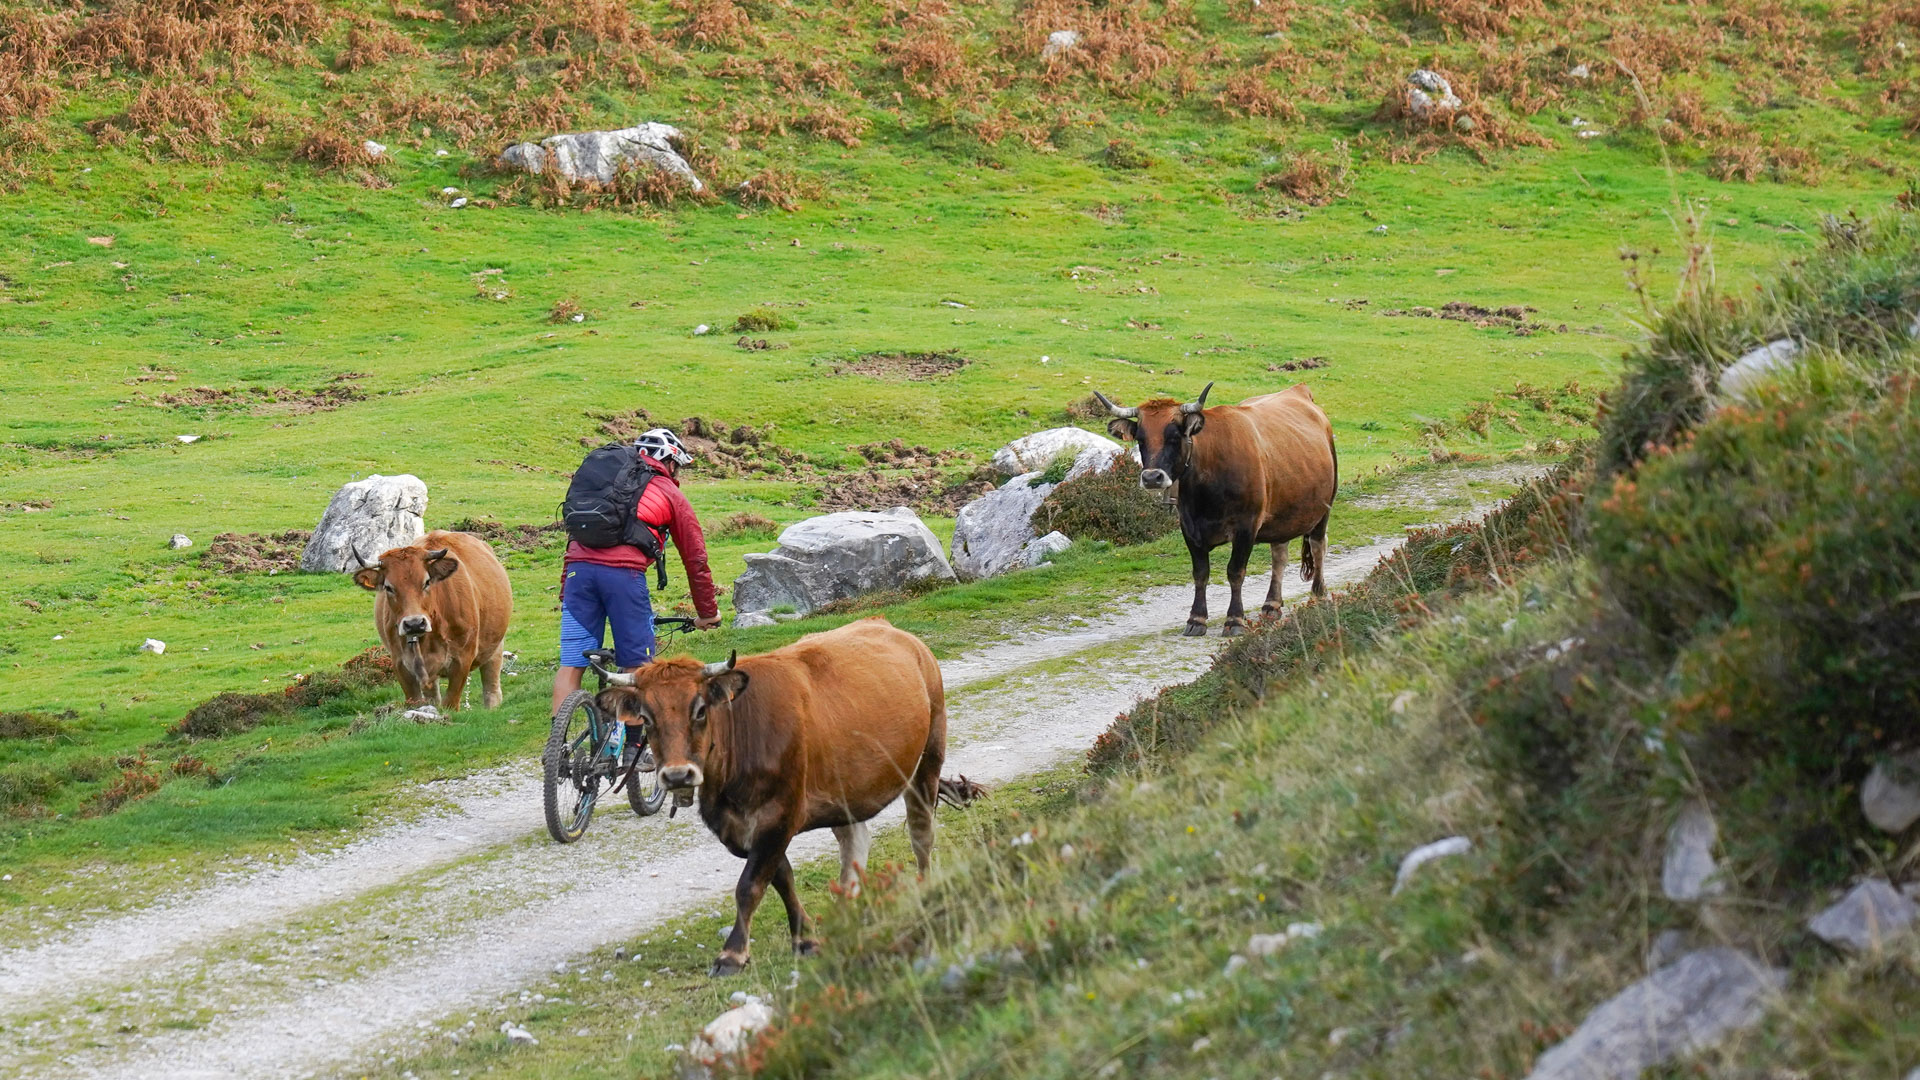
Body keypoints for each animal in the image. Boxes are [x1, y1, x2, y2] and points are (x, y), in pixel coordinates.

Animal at [355, 526, 514, 711]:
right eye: (388, 587)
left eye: (426, 581)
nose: (414, 624)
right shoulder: (400, 663)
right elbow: (415, 702)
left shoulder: (463, 659)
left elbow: (451, 703)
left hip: (495, 645)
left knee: (491, 685)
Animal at [602, 614, 948, 976]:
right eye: (646, 717)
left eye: (699, 710)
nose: (677, 775)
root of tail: (884, 624)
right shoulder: (739, 826)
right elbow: (782, 877)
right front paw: (805, 937)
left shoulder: (780, 815)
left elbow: (750, 885)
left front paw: (732, 954)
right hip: (846, 788)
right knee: (855, 841)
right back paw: (845, 908)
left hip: (929, 757)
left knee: (921, 832)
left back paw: (926, 888)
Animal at [1090, 378, 1344, 634]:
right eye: (1140, 439)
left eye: (1175, 437)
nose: (1152, 478)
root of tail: (1299, 391)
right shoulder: (1188, 527)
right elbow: (1200, 573)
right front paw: (1196, 618)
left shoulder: (1246, 526)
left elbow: (1235, 572)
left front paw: (1234, 619)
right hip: (1282, 514)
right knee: (1279, 556)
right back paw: (1271, 605)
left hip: (1324, 507)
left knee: (1318, 547)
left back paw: (1318, 596)